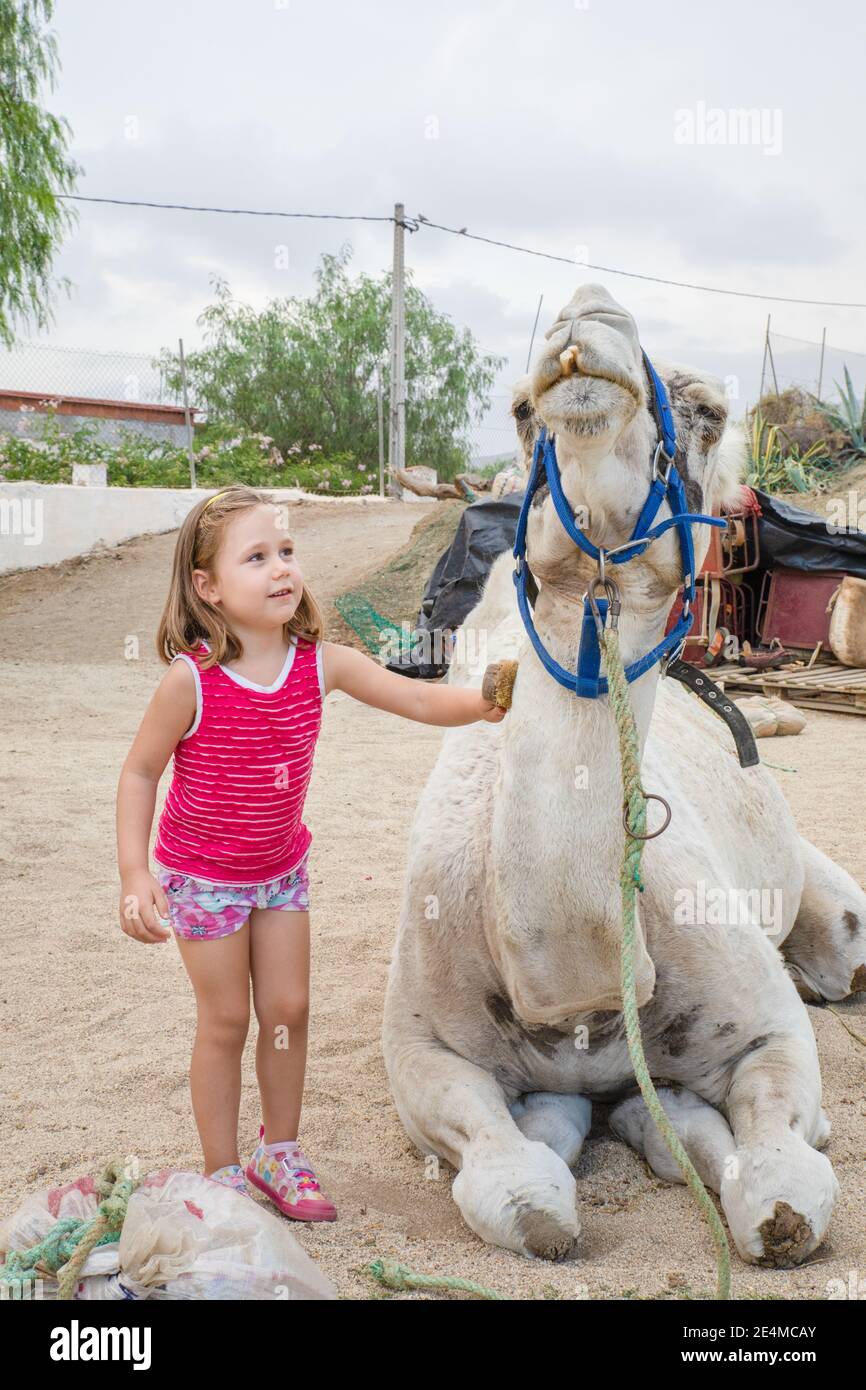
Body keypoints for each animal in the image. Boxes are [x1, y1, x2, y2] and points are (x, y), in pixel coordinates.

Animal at [386, 287, 866, 1267]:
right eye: (518, 408)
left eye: (712, 412)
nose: (586, 317)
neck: (577, 998)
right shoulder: (418, 1050)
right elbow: (517, 1194)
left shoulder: (772, 1031)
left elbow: (786, 1192)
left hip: (836, 921)